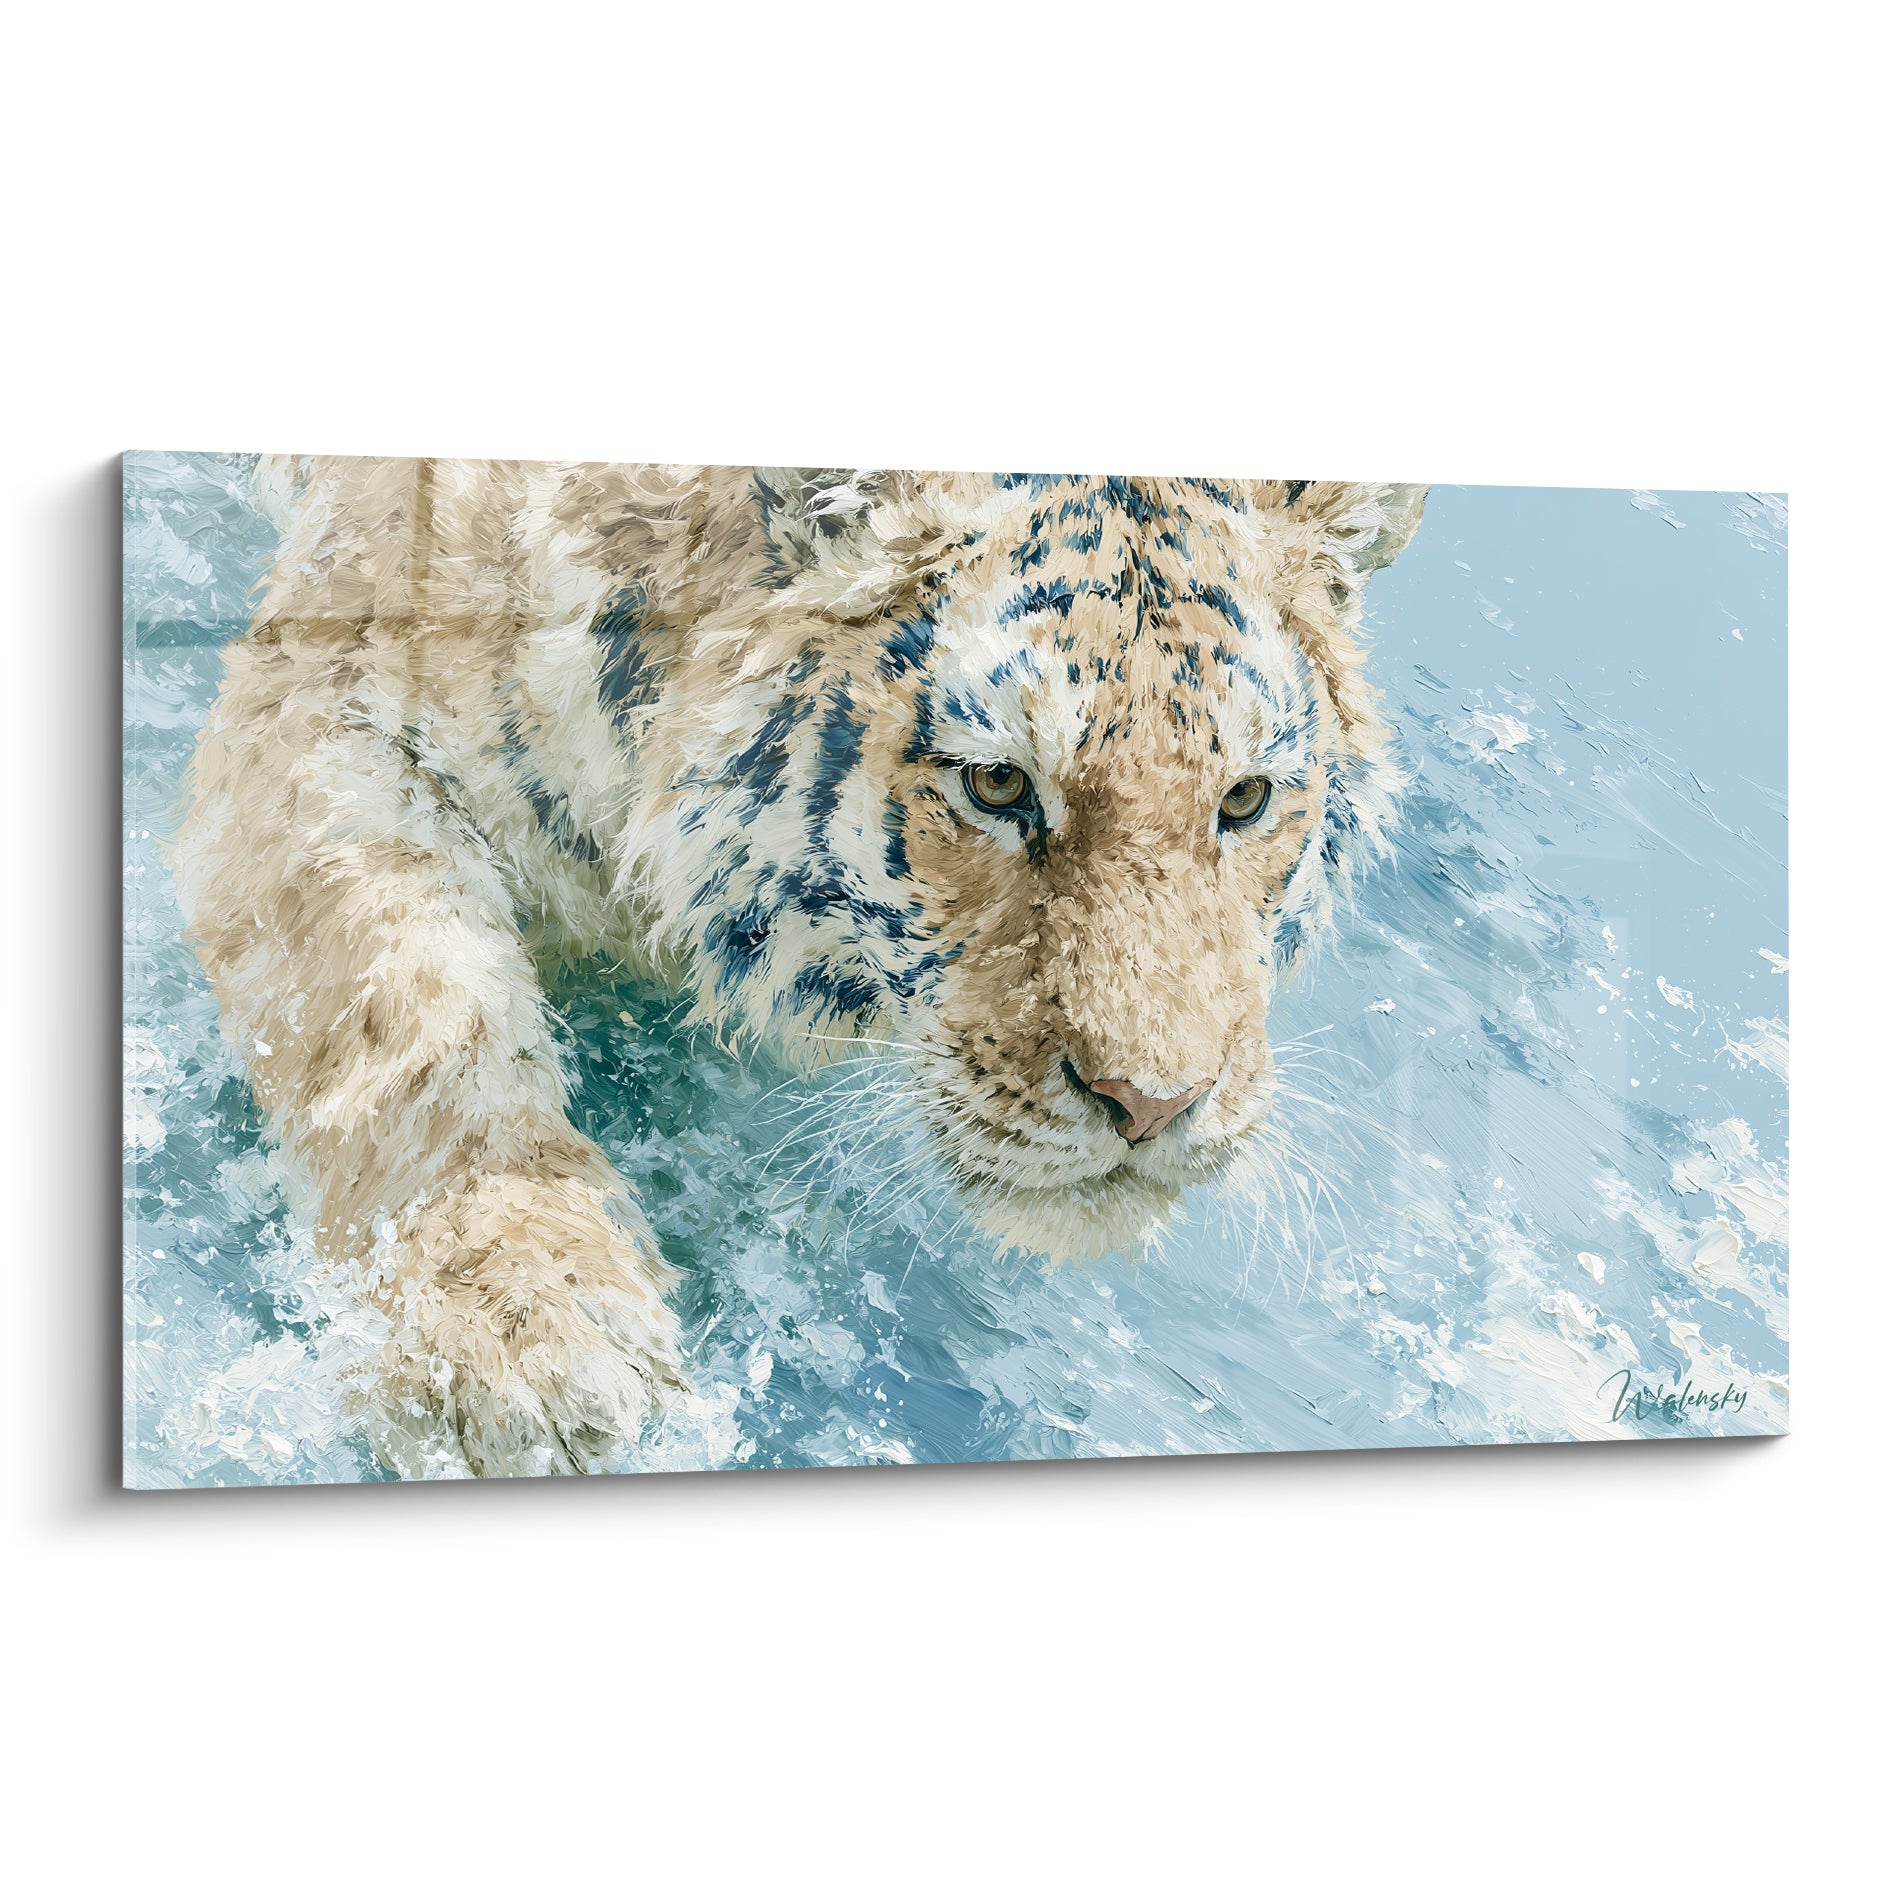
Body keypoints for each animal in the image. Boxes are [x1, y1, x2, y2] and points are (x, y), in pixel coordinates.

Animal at [173, 459, 1426, 1476]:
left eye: (1244, 800)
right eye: (998, 785)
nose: (1151, 1105)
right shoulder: (327, 700)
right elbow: (409, 1010)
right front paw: (523, 1338)